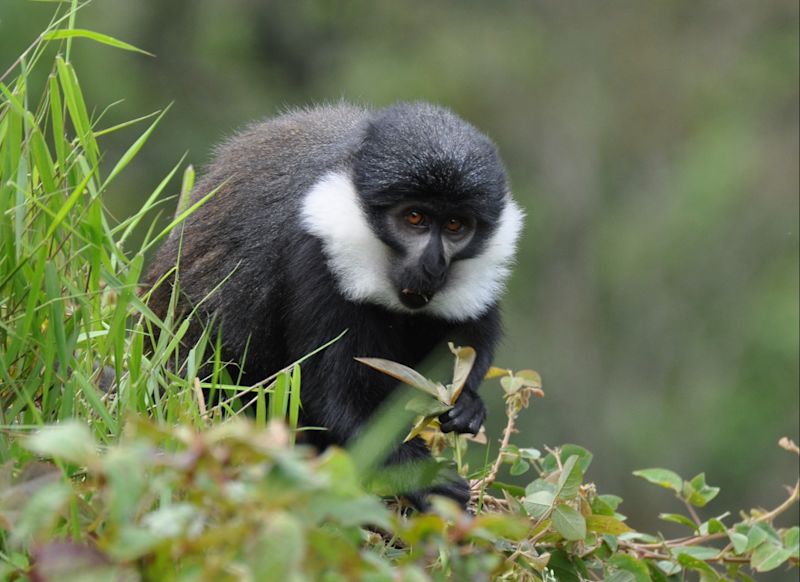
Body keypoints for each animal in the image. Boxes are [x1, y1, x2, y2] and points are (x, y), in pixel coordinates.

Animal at [148, 102, 524, 508]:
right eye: (415, 218)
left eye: (456, 225)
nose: (434, 263)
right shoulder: (317, 258)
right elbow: (336, 401)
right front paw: (425, 479)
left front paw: (467, 405)